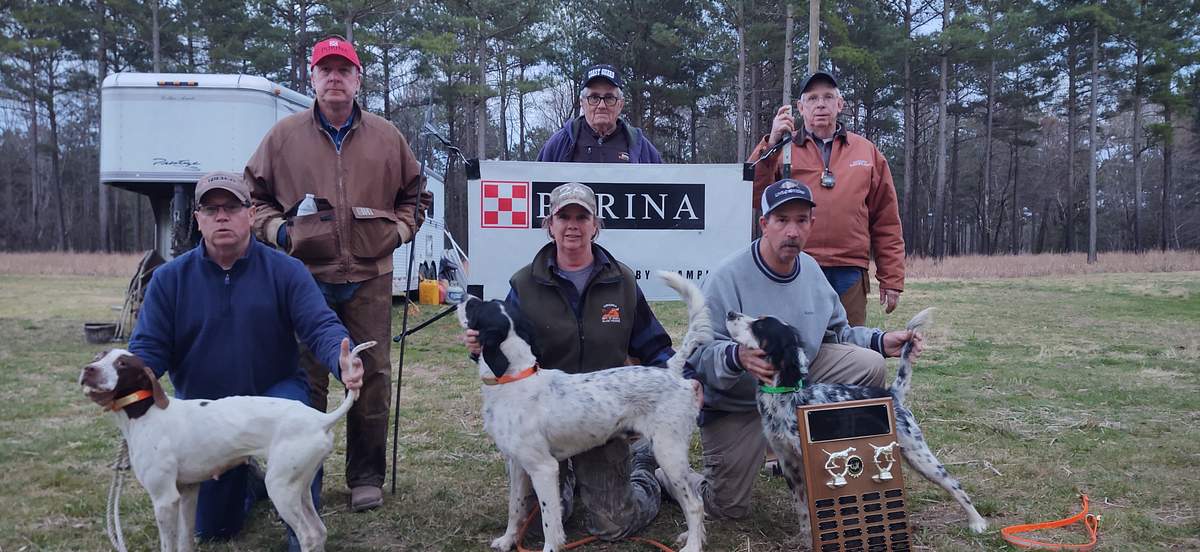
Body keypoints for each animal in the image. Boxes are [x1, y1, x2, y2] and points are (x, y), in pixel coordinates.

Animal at [453, 271, 705, 552]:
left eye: (476, 308)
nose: (462, 296)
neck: (514, 378)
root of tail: (670, 371)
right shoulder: (518, 465)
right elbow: (515, 508)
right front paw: (508, 540)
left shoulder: (544, 468)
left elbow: (550, 521)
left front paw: (550, 547)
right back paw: (688, 535)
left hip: (668, 452)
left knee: (695, 504)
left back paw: (693, 545)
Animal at [724, 307, 988, 544]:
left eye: (759, 326)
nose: (730, 313)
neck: (786, 398)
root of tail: (891, 394)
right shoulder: (790, 466)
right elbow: (803, 511)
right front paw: (806, 540)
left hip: (921, 456)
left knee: (954, 484)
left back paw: (977, 522)